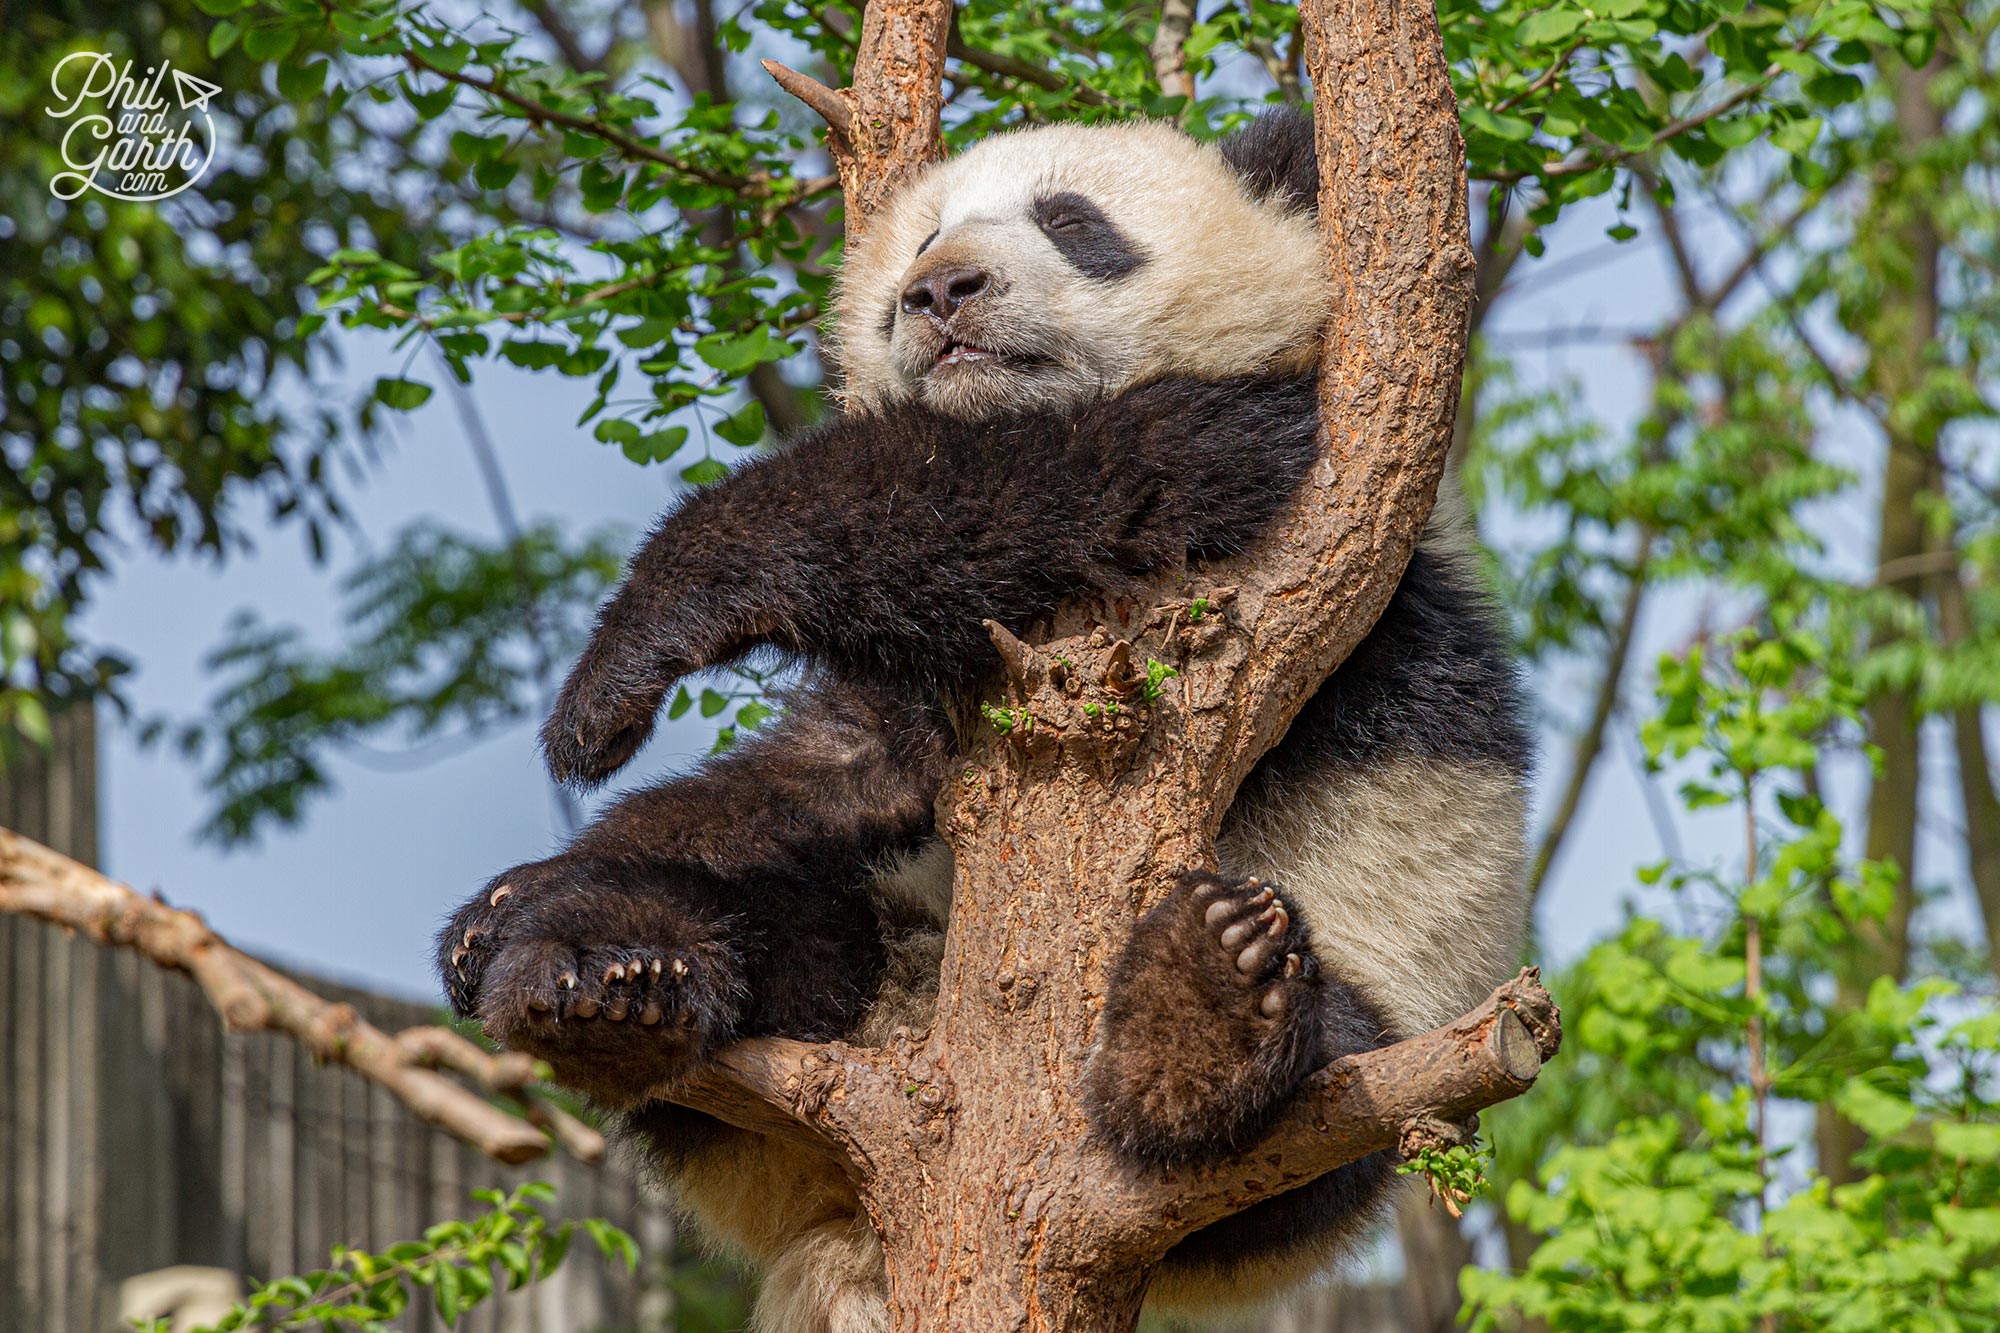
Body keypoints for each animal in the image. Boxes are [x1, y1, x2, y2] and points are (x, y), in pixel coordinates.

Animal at [442, 109, 1528, 1320]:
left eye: (1073, 222)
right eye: (921, 236)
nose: (938, 290)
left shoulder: (1288, 496)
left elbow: (1044, 486)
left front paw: (628, 652)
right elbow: (828, 772)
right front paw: (505, 900)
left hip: (1396, 1042)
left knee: (1305, 1099)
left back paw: (1203, 1010)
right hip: (873, 935)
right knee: (774, 925)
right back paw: (605, 978)